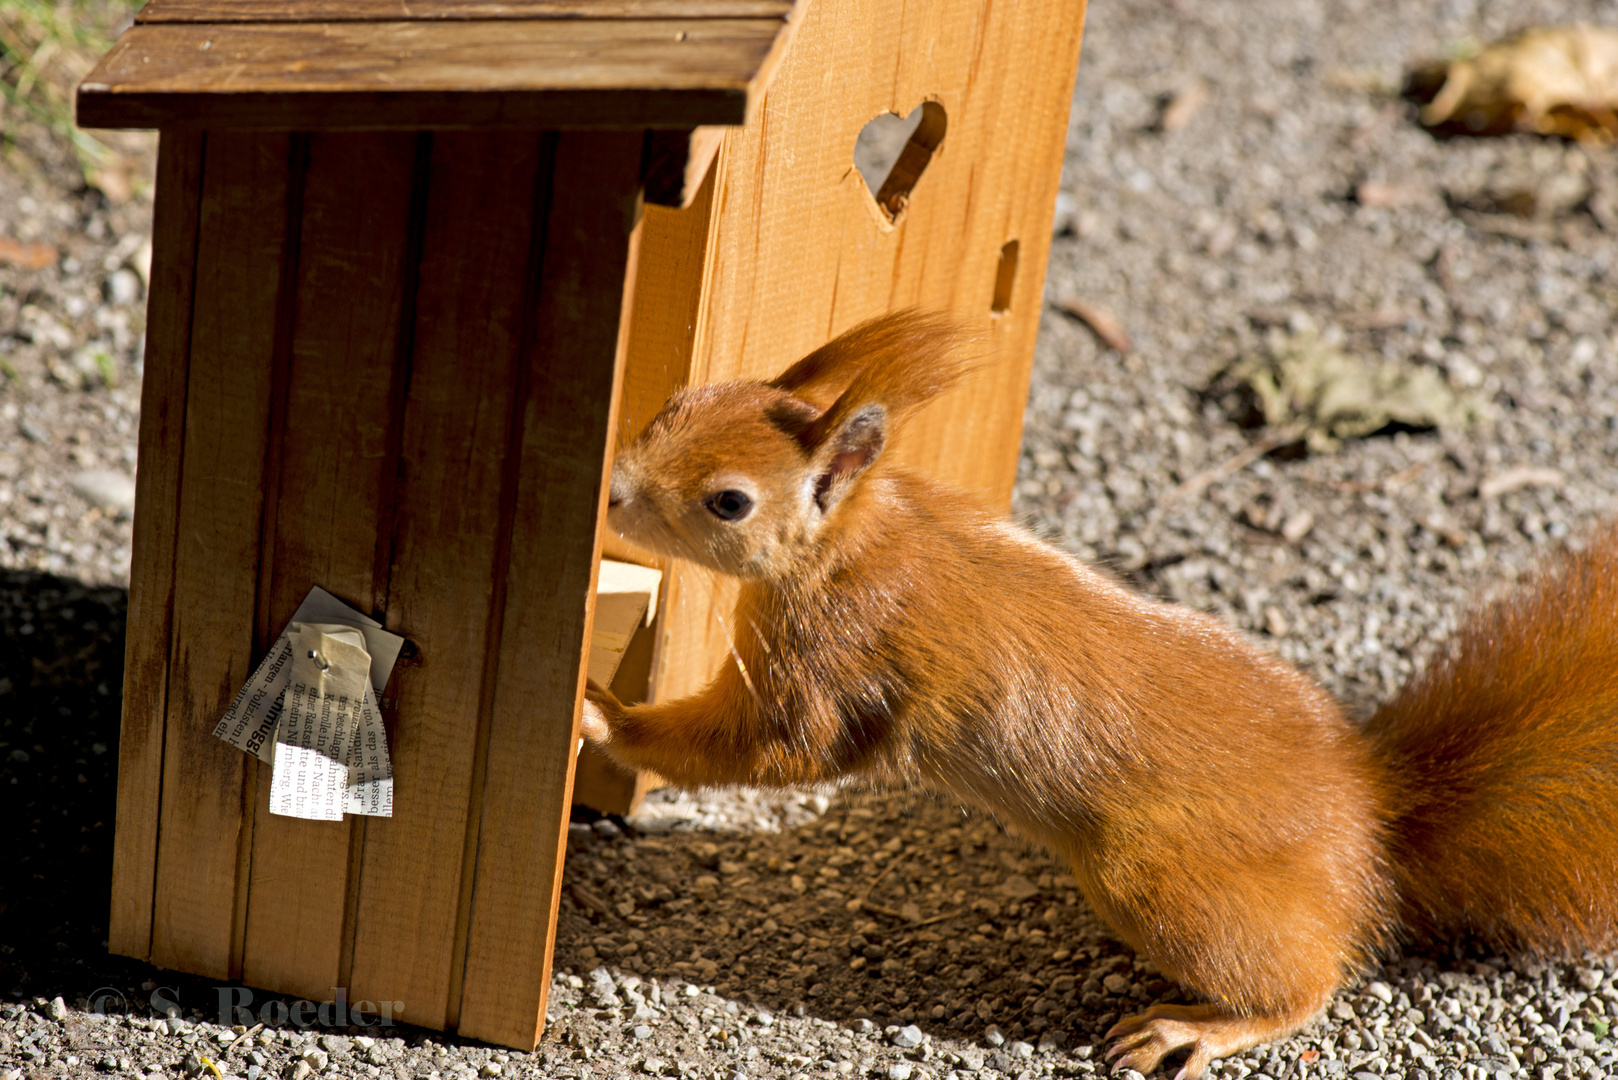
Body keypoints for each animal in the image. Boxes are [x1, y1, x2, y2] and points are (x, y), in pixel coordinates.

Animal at [582, 307, 1618, 1075]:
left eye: (729, 502)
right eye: (682, 400)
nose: (614, 492)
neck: (861, 538)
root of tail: (1373, 819)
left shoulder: (838, 658)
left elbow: (776, 748)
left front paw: (604, 718)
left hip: (1155, 881)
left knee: (1310, 983)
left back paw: (1198, 1028)